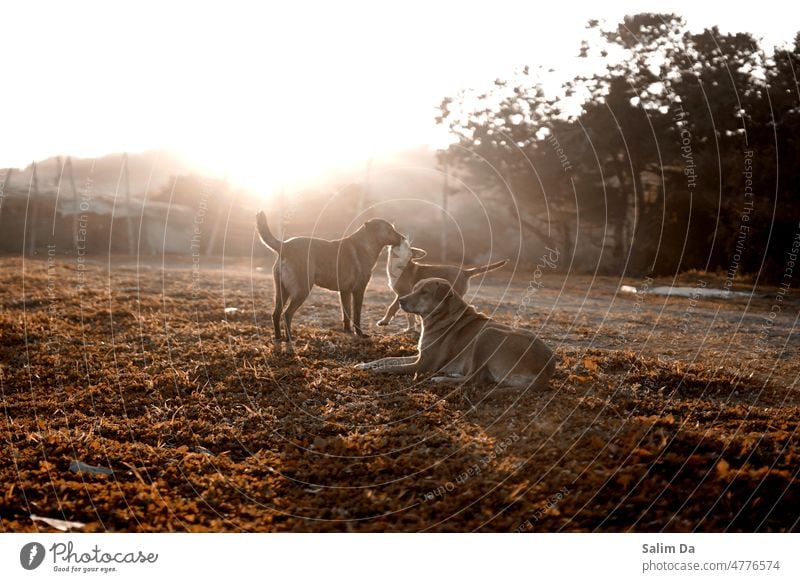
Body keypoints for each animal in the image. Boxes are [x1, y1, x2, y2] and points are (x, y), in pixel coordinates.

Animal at [258, 210, 406, 350]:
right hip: (302, 290)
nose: (404, 238)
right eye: (390, 230)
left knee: (276, 314)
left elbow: (346, 314)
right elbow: (356, 315)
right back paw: (289, 338)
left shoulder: (345, 292)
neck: (366, 243)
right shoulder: (358, 290)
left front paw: (348, 331)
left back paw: (278, 337)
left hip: (282, 291)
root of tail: (285, 246)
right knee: (287, 314)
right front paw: (360, 334)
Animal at [358, 278, 556, 390]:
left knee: (475, 379)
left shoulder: (424, 364)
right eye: (415, 289)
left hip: (487, 334)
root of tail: (546, 369)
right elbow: (388, 358)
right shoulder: (420, 355)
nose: (400, 301)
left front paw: (376, 370)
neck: (442, 317)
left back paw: (441, 378)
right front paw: (364, 365)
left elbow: (394, 367)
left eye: (424, 292)